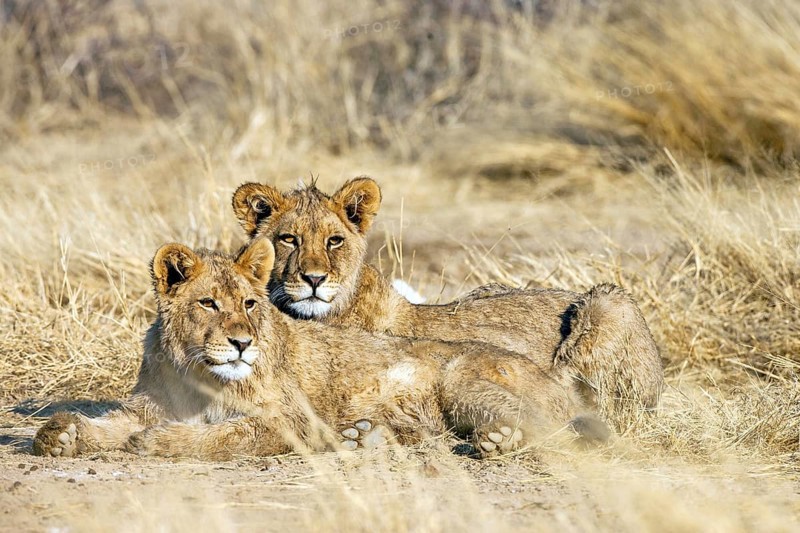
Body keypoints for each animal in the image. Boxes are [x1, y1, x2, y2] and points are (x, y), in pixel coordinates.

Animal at [33, 238, 605, 461]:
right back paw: (364, 437)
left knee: (552, 429)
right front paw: (61, 434)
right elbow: (111, 423)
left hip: (461, 376)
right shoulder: (148, 405)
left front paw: (161, 443)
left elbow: (225, 437)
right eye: (208, 303)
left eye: (249, 303)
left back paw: (497, 441)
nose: (241, 343)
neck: (195, 374)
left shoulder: (291, 420)